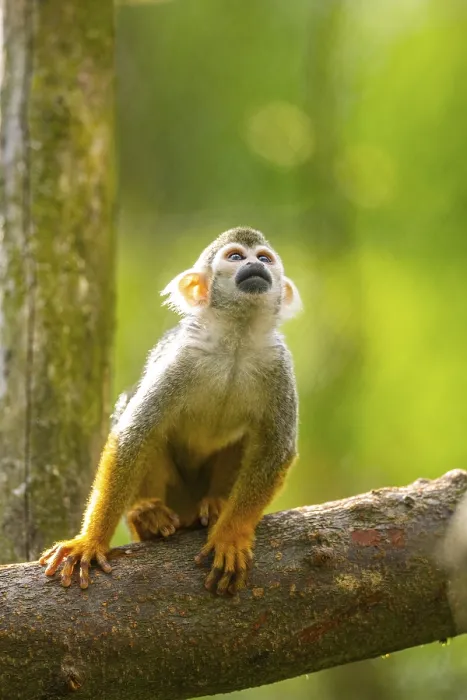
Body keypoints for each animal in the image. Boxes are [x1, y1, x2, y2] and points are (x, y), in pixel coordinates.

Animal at [39, 226, 302, 595]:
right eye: (236, 256)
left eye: (265, 258)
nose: (255, 265)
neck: (236, 339)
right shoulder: (182, 356)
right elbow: (137, 432)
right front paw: (90, 541)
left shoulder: (279, 364)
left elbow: (275, 448)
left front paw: (231, 535)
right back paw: (146, 518)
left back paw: (216, 504)